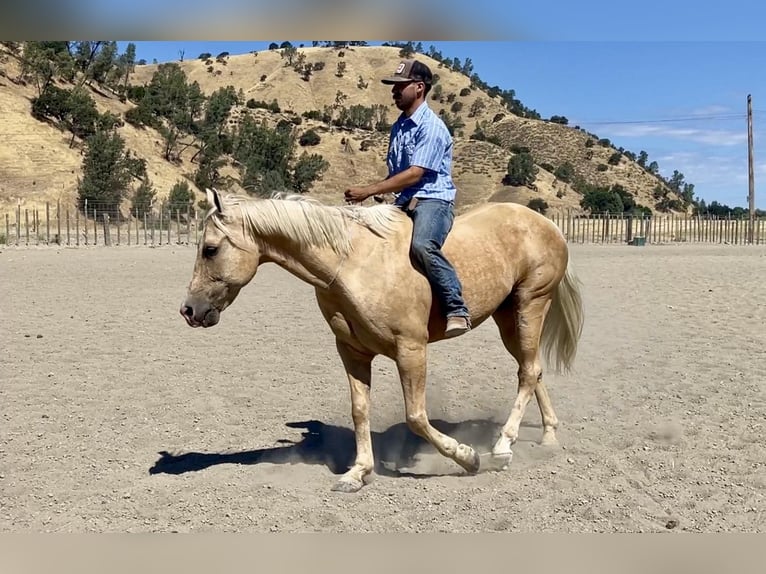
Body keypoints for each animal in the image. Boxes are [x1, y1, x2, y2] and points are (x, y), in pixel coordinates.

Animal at [180, 188, 585, 493]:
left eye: (210, 249)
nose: (189, 310)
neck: (352, 263)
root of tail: (545, 223)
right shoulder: (352, 352)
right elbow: (360, 410)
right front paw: (357, 473)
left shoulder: (411, 350)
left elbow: (416, 417)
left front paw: (468, 458)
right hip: (508, 317)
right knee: (532, 369)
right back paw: (547, 435)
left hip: (531, 305)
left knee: (528, 371)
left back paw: (501, 447)